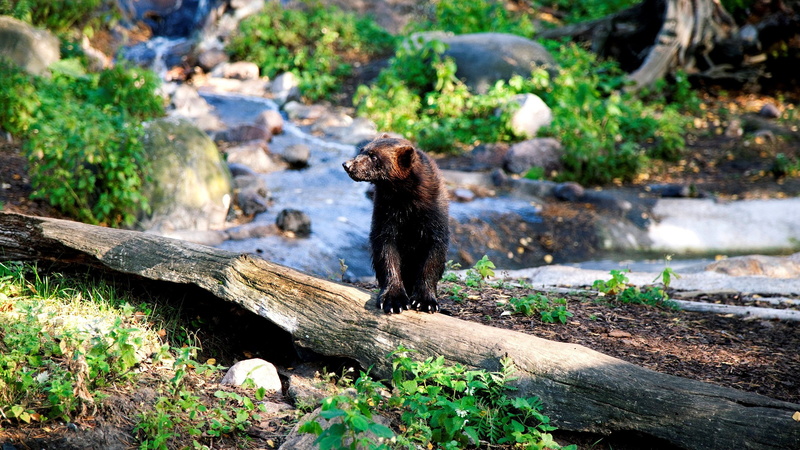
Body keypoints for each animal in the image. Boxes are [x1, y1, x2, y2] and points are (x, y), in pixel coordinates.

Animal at [343, 134, 449, 314]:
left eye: (374, 156)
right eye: (361, 149)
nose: (347, 164)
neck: (405, 200)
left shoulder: (435, 214)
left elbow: (434, 254)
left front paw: (425, 300)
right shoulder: (385, 213)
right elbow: (386, 251)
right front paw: (394, 300)